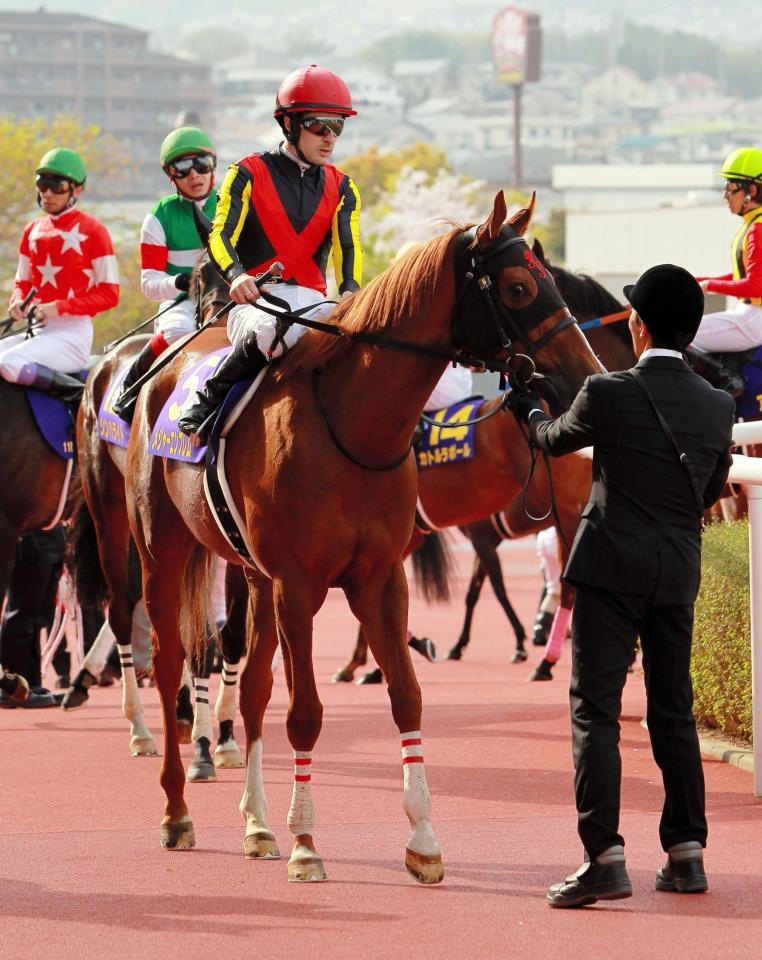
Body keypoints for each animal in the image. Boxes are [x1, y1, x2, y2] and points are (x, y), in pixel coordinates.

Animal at [121, 189, 604, 884]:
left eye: (551, 285)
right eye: (517, 287)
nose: (586, 378)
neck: (350, 424)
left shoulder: (379, 578)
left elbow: (406, 696)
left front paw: (423, 840)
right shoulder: (299, 585)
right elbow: (305, 712)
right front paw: (305, 843)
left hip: (253, 575)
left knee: (254, 686)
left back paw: (257, 824)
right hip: (163, 554)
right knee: (165, 666)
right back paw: (177, 811)